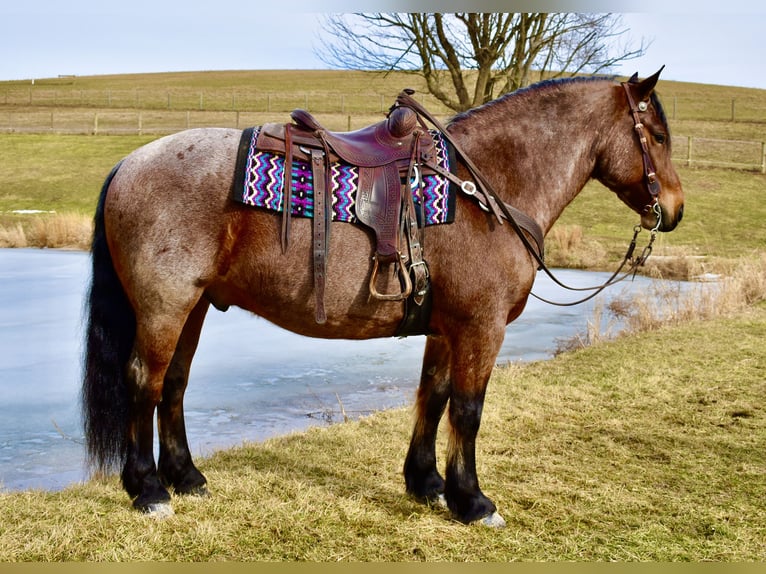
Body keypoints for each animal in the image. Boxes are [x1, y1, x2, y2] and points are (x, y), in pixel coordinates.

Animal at [82, 69, 684, 527]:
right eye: (655, 136)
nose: (675, 210)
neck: (487, 188)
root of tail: (129, 164)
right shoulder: (481, 326)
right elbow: (467, 410)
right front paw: (473, 501)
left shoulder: (447, 328)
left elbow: (432, 397)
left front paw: (427, 484)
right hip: (164, 307)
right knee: (144, 381)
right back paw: (148, 490)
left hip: (195, 306)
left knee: (173, 384)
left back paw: (187, 477)